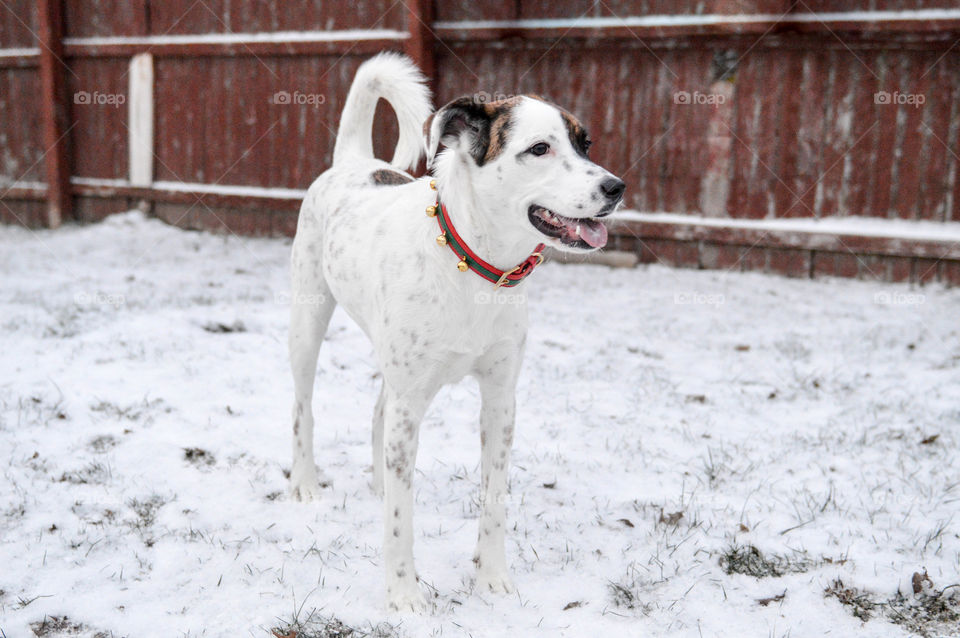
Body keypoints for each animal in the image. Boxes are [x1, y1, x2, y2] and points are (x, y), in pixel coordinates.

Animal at [288, 52, 628, 612]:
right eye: (539, 148)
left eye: (586, 144)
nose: (615, 188)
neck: (475, 264)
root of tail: (353, 162)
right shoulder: (411, 404)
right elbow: (400, 521)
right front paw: (403, 596)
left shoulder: (500, 398)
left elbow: (493, 500)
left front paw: (492, 579)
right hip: (307, 321)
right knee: (303, 408)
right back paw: (304, 485)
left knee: (377, 410)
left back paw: (378, 484)